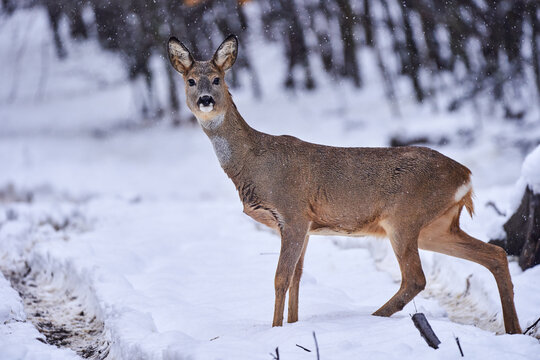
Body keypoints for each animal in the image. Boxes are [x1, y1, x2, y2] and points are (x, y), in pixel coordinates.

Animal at [169, 35, 524, 334]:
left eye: (217, 79)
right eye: (190, 80)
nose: (205, 100)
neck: (253, 163)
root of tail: (465, 175)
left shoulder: (293, 213)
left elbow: (281, 278)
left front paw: (275, 330)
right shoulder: (305, 224)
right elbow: (298, 277)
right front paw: (292, 326)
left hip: (404, 216)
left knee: (416, 278)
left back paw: (373, 318)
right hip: (437, 225)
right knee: (495, 253)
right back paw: (514, 330)